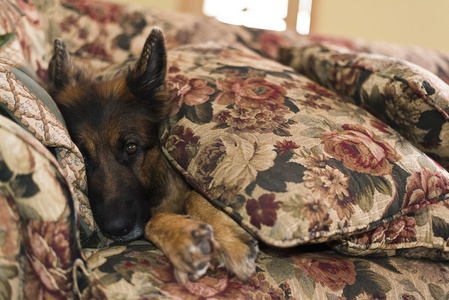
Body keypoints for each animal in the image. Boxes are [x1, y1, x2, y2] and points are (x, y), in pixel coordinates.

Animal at [46, 28, 258, 284]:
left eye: (131, 147)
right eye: (83, 158)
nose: (115, 229)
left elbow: (192, 196)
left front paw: (228, 238)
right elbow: (149, 223)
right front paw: (182, 237)